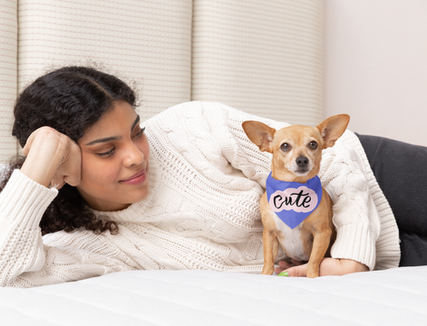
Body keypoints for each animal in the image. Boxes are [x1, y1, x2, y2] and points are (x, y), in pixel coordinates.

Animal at [244, 114, 352, 278]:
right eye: (285, 146)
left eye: (313, 144)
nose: (302, 160)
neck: (293, 191)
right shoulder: (269, 234)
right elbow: (268, 260)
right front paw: (265, 275)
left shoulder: (322, 233)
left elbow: (313, 261)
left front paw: (312, 277)